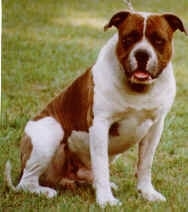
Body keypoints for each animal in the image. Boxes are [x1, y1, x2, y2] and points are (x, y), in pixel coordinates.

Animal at [5, 9, 187, 207]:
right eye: (129, 38)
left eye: (158, 40)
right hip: (50, 131)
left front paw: (147, 193)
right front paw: (106, 199)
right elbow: (101, 166)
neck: (139, 89)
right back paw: (44, 191)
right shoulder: (100, 125)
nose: (142, 54)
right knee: (26, 182)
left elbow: (145, 164)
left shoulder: (155, 127)